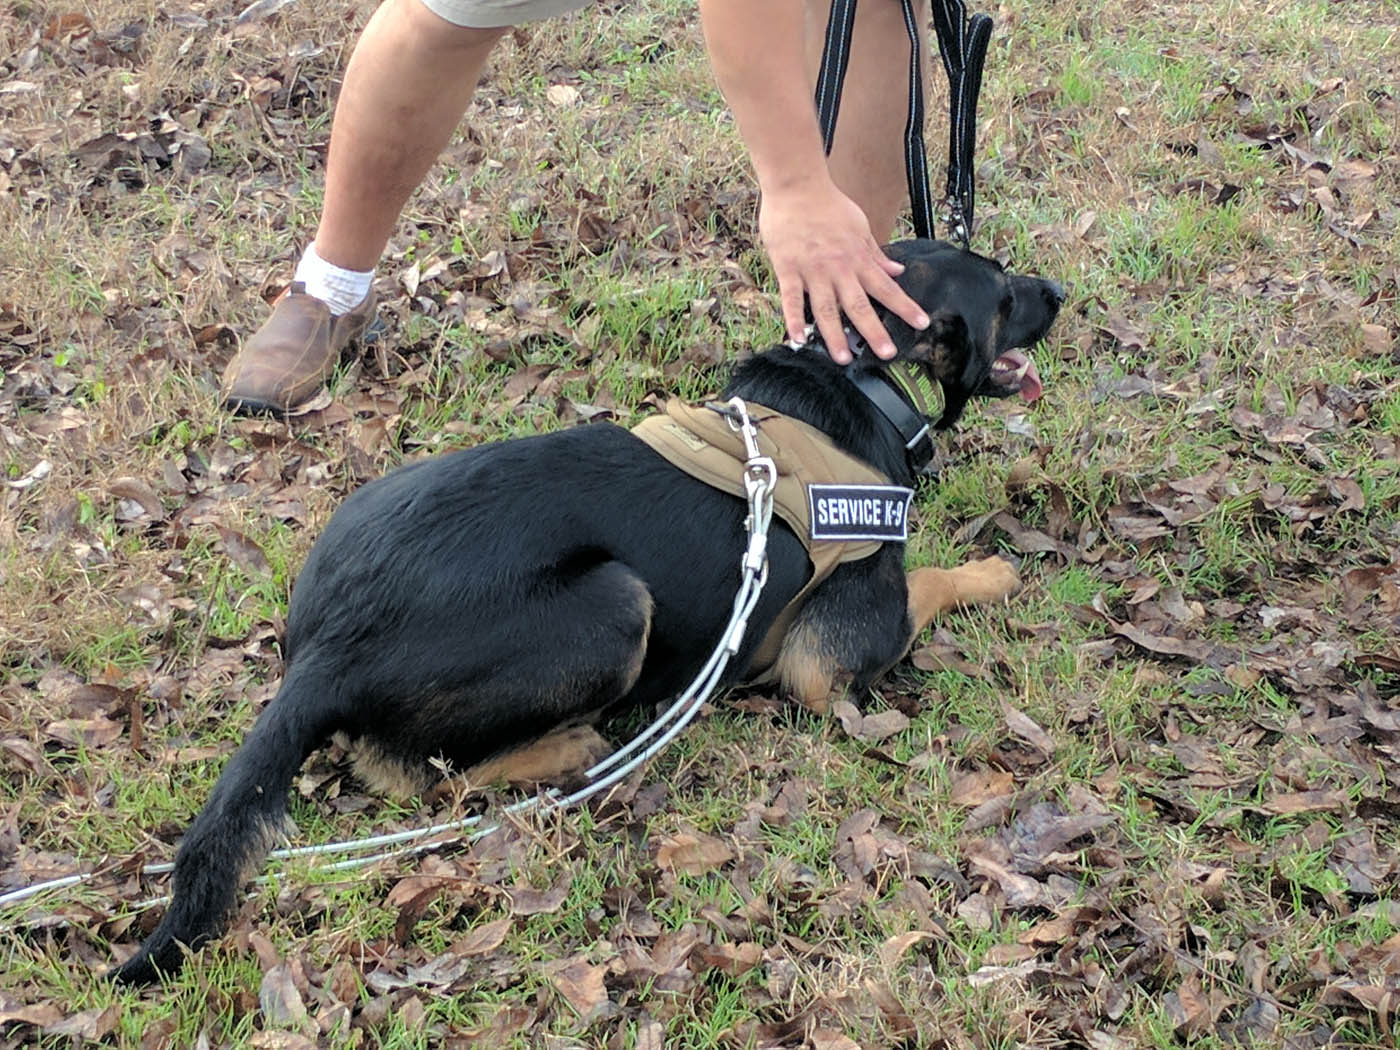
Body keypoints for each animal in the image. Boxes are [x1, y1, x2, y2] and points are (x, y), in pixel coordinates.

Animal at [112, 240, 1058, 985]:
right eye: (1003, 292)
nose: (1058, 290)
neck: (854, 374)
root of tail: (322, 650)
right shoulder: (829, 658)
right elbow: (928, 584)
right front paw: (993, 569)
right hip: (615, 605)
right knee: (427, 775)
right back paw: (566, 747)